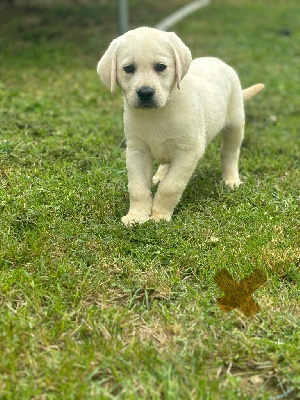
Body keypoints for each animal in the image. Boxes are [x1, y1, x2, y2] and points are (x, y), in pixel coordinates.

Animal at [97, 27, 264, 227]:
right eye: (128, 68)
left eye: (160, 67)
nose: (145, 92)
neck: (158, 113)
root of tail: (218, 61)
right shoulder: (137, 150)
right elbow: (137, 188)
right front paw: (136, 215)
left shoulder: (189, 150)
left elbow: (171, 186)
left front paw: (160, 215)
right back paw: (160, 175)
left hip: (235, 123)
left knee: (229, 153)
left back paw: (231, 179)